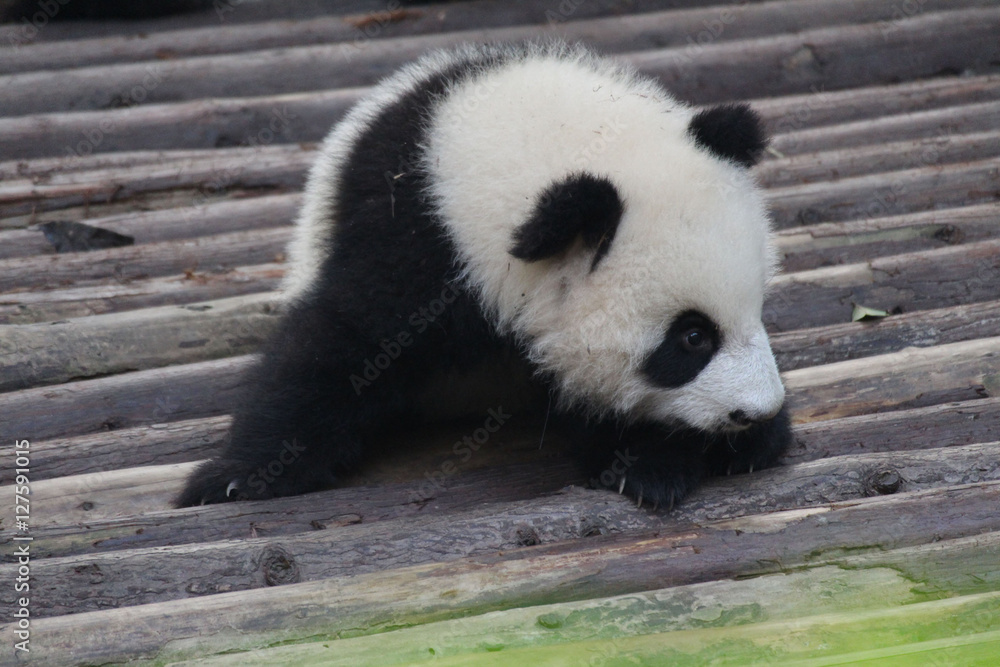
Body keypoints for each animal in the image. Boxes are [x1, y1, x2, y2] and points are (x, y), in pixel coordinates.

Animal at [176, 41, 792, 510]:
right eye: (692, 337)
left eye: (758, 310)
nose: (755, 411)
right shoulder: (418, 235)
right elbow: (340, 344)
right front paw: (238, 477)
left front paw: (703, 450)